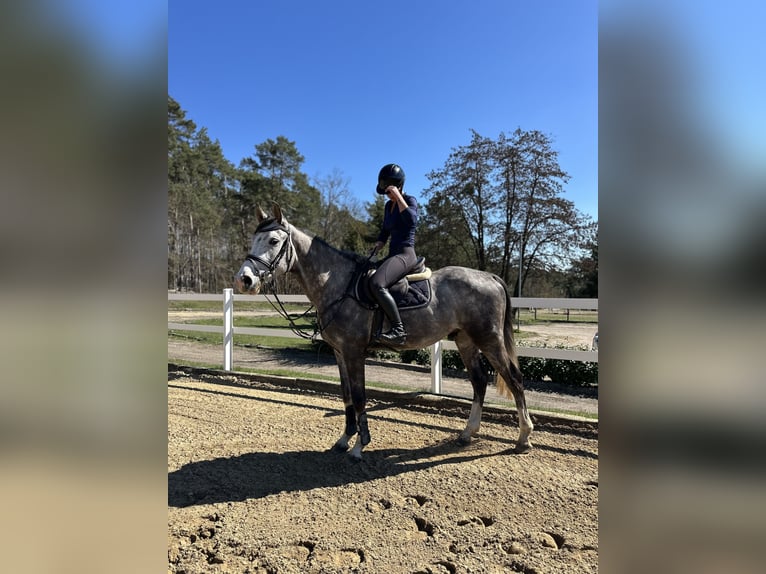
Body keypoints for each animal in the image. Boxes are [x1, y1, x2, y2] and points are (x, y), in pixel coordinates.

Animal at [234, 203, 533, 461]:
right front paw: (344, 439)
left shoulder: (354, 352)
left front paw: (359, 445)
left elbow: (359, 397)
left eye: (274, 241)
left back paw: (524, 437)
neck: (338, 284)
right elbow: (346, 395)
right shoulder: (339, 353)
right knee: (479, 382)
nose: (244, 280)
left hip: (489, 339)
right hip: (466, 341)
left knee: (514, 379)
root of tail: (489, 277)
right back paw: (467, 434)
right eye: (254, 239)